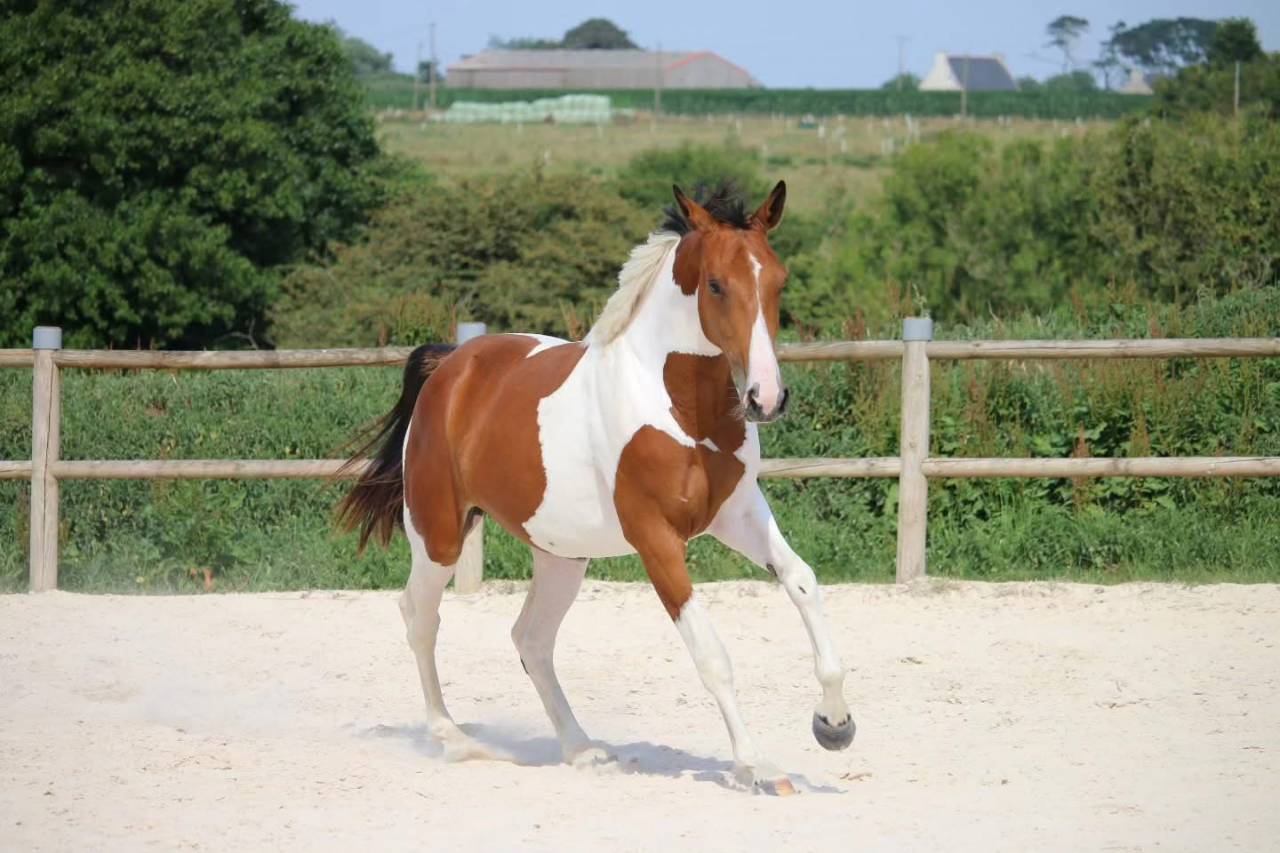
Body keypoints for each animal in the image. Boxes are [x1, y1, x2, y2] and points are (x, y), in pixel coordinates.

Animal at [338, 181, 854, 795]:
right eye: (716, 284)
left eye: (779, 280)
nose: (766, 398)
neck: (680, 409)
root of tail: (451, 366)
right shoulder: (656, 538)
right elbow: (711, 654)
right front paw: (759, 767)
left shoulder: (738, 514)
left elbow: (803, 582)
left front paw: (834, 725)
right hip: (439, 532)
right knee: (421, 618)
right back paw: (455, 740)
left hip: (562, 553)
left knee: (531, 640)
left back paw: (584, 751)